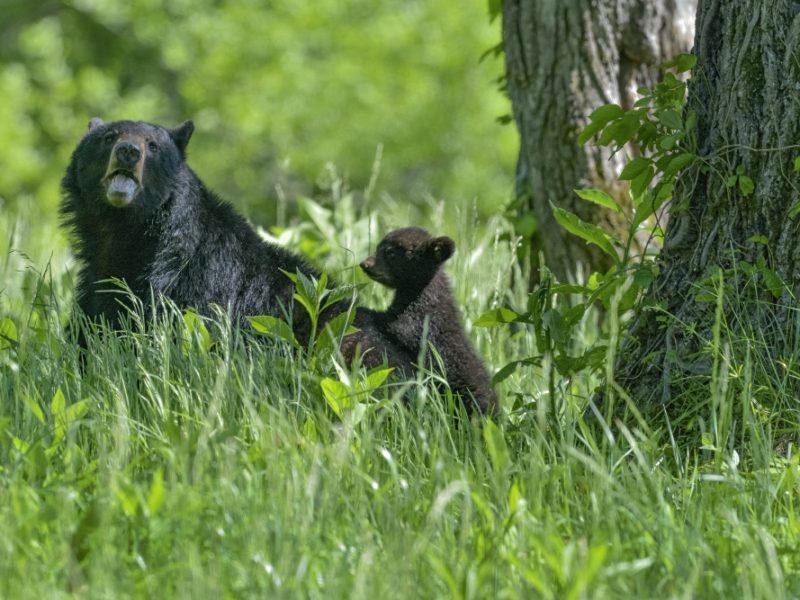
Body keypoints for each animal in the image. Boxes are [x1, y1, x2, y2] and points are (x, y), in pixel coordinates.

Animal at [356, 227, 498, 416]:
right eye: (378, 247)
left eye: (390, 252)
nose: (365, 264)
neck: (420, 293)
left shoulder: (418, 318)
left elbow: (394, 325)